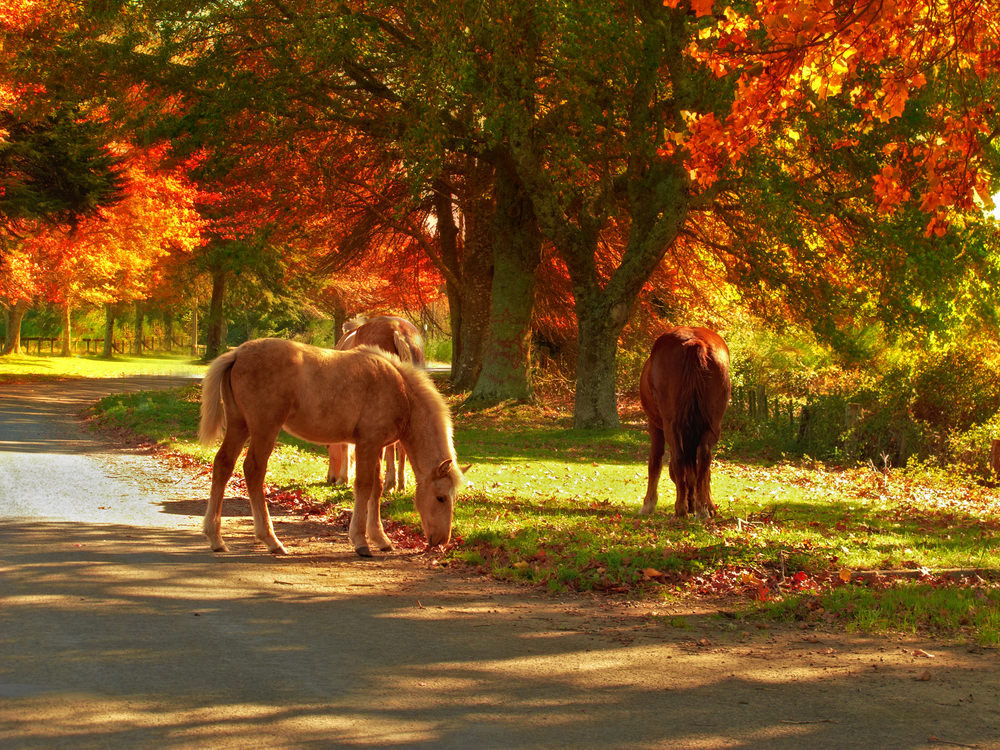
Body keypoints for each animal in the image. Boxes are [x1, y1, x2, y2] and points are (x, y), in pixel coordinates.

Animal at [199, 340, 464, 560]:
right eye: (440, 497)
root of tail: (238, 353)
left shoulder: (377, 446)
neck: (401, 391)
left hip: (239, 424)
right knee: (253, 470)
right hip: (264, 428)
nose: (442, 541)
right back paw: (271, 540)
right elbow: (364, 486)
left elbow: (377, 487)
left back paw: (216, 538)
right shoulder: (368, 443)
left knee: (223, 464)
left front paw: (380, 538)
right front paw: (360, 542)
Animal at [326, 314, 424, 490]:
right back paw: (400, 483)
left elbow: (345, 445)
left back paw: (389, 483)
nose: (329, 478)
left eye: (327, 446)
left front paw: (344, 478)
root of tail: (398, 330)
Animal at [640, 328, 728, 524]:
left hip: (670, 425)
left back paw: (680, 509)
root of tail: (694, 341)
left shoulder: (654, 425)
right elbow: (703, 475)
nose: (691, 504)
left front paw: (648, 504)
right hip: (714, 423)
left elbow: (655, 461)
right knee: (704, 455)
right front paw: (709, 506)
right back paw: (701, 510)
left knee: (679, 458)